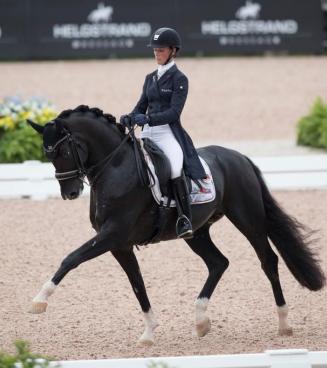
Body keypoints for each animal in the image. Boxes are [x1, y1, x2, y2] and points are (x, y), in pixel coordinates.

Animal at [27, 105, 326, 344]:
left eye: (64, 150)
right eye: (47, 153)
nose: (70, 193)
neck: (116, 167)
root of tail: (239, 157)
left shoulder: (112, 235)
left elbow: (71, 258)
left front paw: (39, 301)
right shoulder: (119, 245)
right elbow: (137, 284)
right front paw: (149, 333)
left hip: (248, 220)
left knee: (268, 261)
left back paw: (284, 324)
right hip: (197, 233)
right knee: (218, 263)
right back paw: (201, 321)